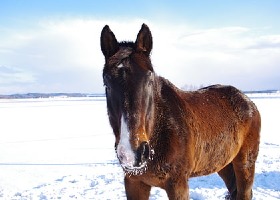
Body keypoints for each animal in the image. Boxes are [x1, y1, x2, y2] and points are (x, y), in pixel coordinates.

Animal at [100, 23, 260, 200]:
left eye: (149, 80)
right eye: (106, 83)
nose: (132, 153)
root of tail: (247, 101)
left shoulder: (178, 185)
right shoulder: (134, 182)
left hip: (245, 164)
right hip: (223, 163)